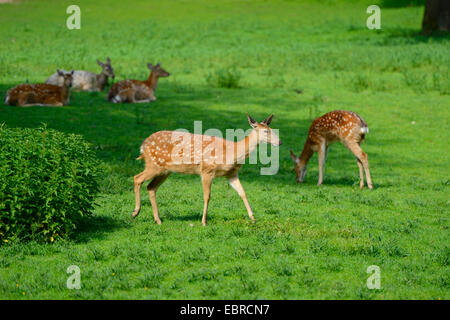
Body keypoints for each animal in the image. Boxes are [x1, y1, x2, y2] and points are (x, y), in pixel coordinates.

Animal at [131, 114, 282, 226]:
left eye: (273, 130)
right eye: (266, 131)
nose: (279, 142)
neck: (231, 152)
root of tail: (143, 146)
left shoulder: (232, 174)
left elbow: (243, 193)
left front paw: (253, 218)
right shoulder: (206, 170)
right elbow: (207, 196)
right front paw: (203, 221)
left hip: (164, 170)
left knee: (151, 187)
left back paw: (158, 219)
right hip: (154, 165)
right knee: (137, 178)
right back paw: (135, 212)